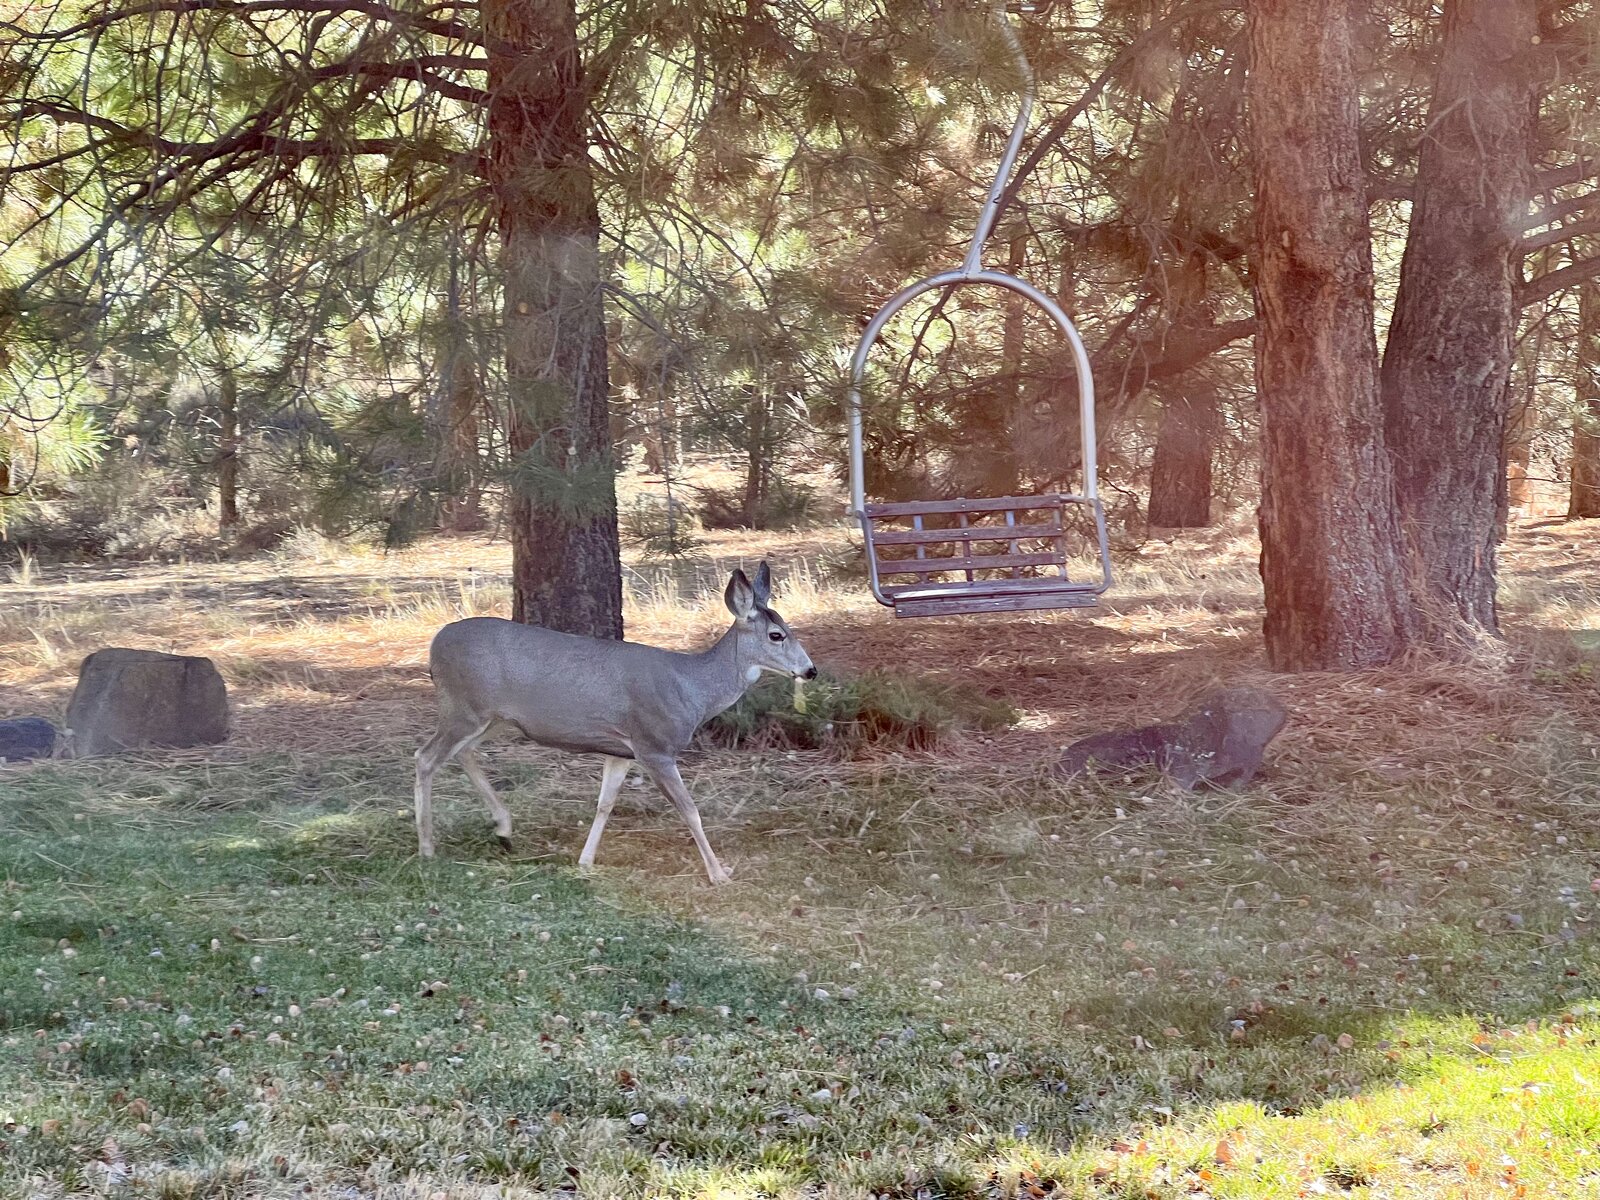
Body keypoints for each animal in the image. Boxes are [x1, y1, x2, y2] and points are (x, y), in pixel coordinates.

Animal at [413, 562, 816, 883]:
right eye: (776, 635)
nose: (810, 670)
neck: (693, 689)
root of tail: (434, 644)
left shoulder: (622, 750)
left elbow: (604, 803)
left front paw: (586, 860)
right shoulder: (655, 745)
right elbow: (690, 810)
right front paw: (719, 874)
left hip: (491, 717)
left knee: (462, 754)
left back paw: (503, 828)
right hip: (463, 707)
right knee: (425, 757)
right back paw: (427, 845)